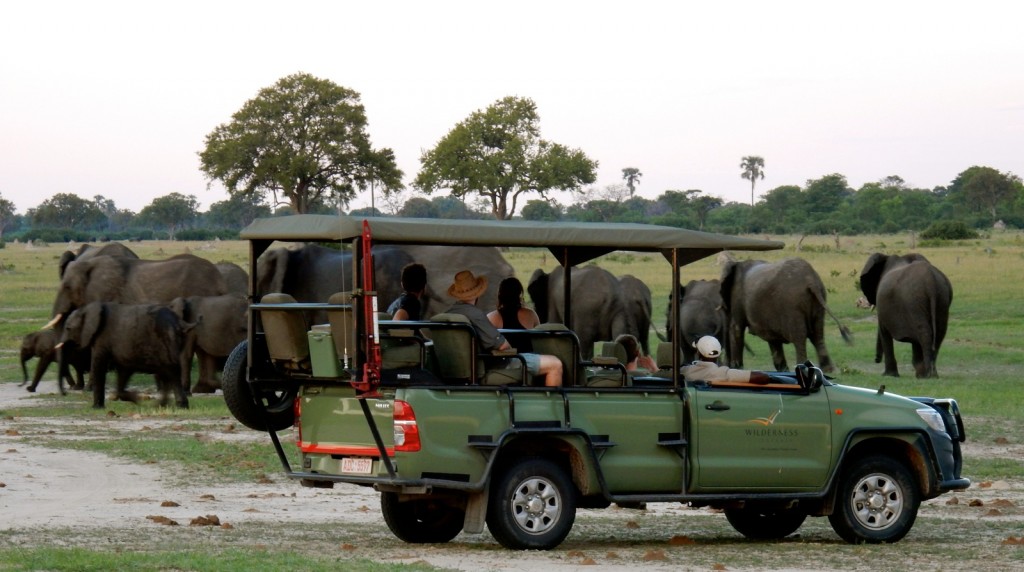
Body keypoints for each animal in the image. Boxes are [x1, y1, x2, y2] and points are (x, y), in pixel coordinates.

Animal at [60, 302, 195, 409]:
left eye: (68, 328)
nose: (66, 393)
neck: (88, 309)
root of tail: (180, 323)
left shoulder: (102, 339)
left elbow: (99, 366)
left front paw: (97, 408)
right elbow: (123, 371)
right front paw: (136, 399)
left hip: (165, 341)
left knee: (171, 372)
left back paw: (179, 406)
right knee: (167, 373)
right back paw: (162, 405)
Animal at [720, 257, 856, 374]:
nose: (725, 364)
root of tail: (811, 281)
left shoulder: (737, 298)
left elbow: (736, 329)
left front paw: (737, 369)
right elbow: (772, 339)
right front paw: (783, 370)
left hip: (792, 304)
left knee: (799, 336)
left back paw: (802, 369)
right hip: (819, 301)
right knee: (818, 335)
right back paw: (827, 370)